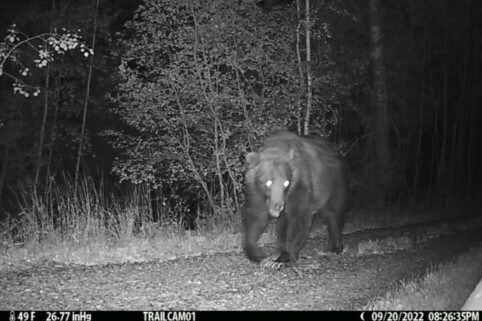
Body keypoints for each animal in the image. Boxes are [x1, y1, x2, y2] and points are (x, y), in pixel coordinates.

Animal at [243, 130, 344, 268]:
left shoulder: (300, 185)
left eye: (286, 183)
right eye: (268, 182)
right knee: (282, 224)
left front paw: (283, 258)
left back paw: (335, 247)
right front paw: (258, 254)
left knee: (332, 213)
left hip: (330, 187)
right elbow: (257, 216)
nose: (278, 205)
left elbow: (299, 218)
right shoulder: (256, 190)